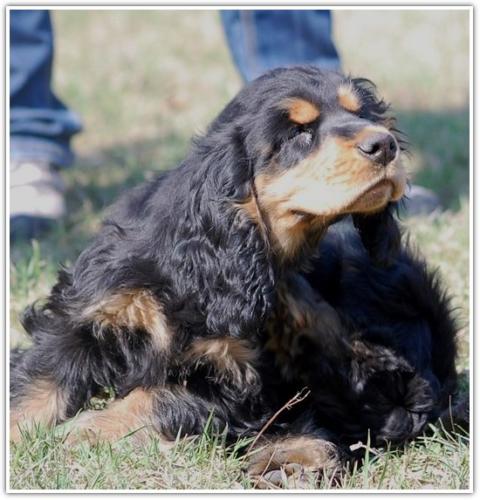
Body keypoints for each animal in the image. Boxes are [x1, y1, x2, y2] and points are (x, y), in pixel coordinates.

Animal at [9, 67, 460, 484]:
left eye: (361, 114)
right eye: (298, 133)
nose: (384, 144)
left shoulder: (234, 378)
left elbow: (161, 398)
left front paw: (84, 430)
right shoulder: (85, 315)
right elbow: (39, 381)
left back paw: (292, 461)